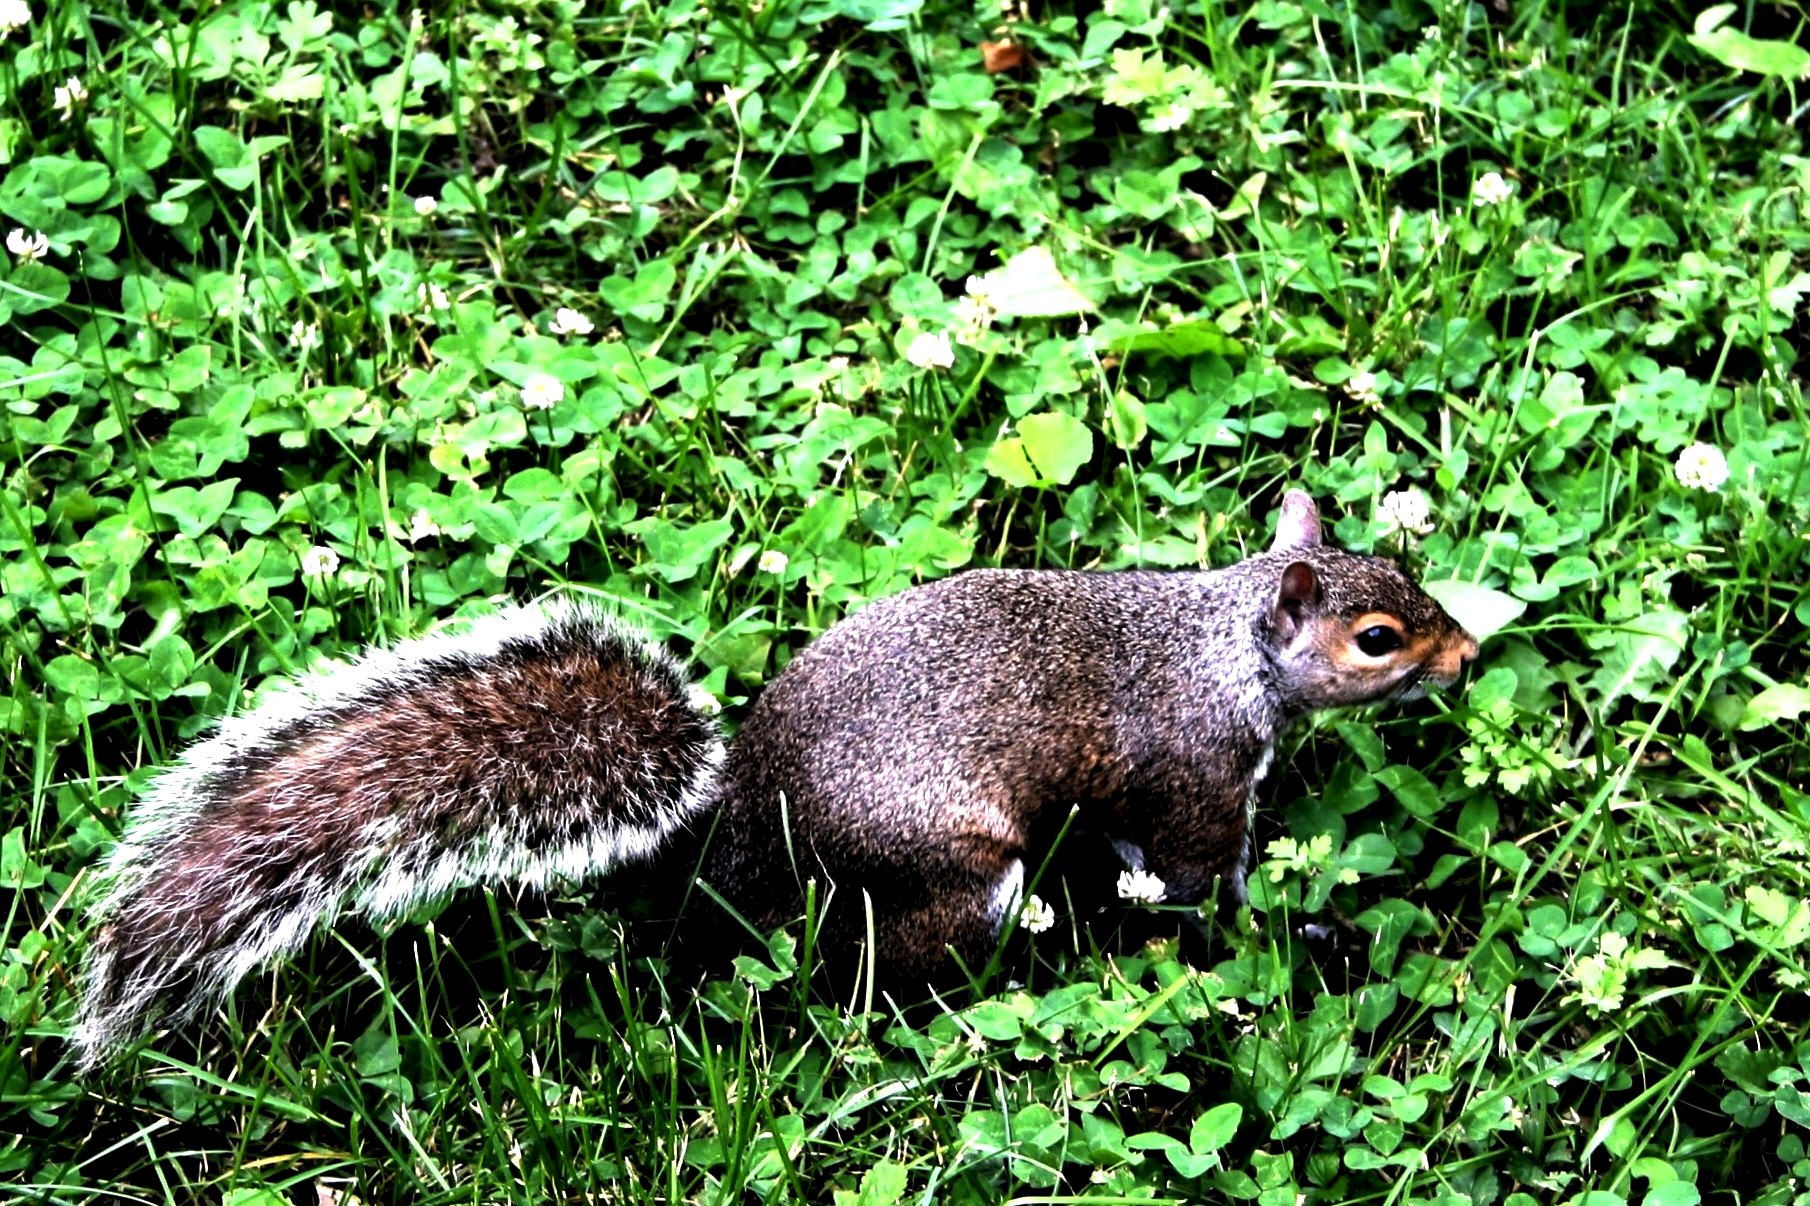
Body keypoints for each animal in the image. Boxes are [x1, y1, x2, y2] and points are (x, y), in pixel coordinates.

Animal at [72, 490, 1477, 1068]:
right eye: (1377, 636)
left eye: (1410, 586)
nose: (1466, 654)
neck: (1218, 647)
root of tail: (738, 832)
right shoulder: (1190, 780)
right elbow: (1195, 885)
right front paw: (1293, 932)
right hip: (959, 874)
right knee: (878, 971)